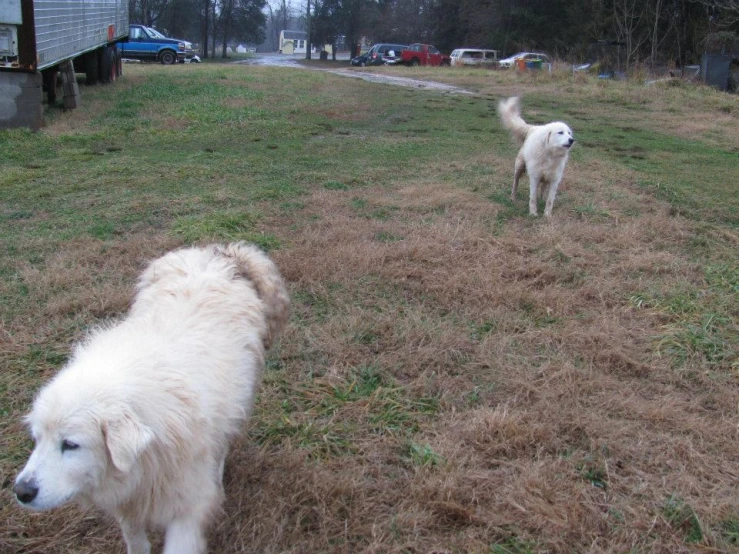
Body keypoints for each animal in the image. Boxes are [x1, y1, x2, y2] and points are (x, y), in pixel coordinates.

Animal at [13, 242, 292, 552]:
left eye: (70, 445)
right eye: (37, 439)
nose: (21, 491)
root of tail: (221, 254)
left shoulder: (188, 504)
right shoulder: (130, 501)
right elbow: (136, 542)